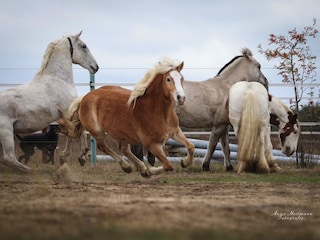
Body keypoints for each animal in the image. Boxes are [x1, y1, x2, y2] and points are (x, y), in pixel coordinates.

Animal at [0, 31, 99, 172]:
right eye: (84, 46)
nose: (96, 67)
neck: (59, 79)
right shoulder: (68, 113)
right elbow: (78, 131)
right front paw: (81, 156)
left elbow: (73, 133)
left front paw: (67, 157)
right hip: (6, 131)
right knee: (9, 158)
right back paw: (30, 171)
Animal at [65, 57, 195, 177]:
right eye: (168, 79)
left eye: (181, 78)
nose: (181, 98)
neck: (158, 112)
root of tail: (85, 97)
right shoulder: (152, 144)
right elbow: (168, 165)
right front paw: (149, 171)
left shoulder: (175, 132)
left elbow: (191, 146)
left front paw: (184, 162)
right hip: (97, 131)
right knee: (103, 146)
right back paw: (127, 166)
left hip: (124, 134)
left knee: (124, 149)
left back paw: (141, 167)